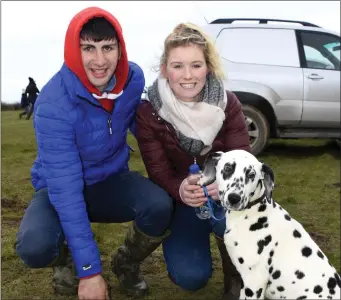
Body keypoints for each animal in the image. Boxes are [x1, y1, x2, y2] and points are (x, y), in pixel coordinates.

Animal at [198, 150, 338, 300]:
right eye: (228, 168)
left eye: (251, 175)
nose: (234, 198)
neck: (250, 213)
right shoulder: (244, 281)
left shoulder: (254, 282)